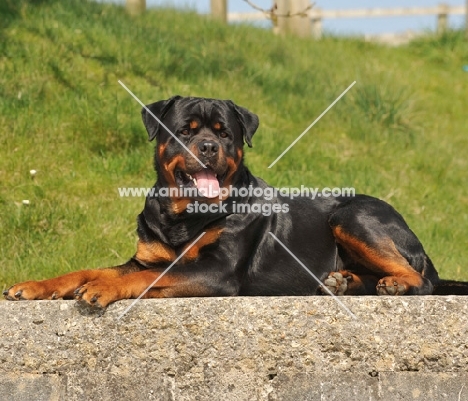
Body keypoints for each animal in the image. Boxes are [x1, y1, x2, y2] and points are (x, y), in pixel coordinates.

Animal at [3, 97, 468, 306]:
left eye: (225, 133)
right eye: (185, 131)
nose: (209, 147)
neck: (183, 216)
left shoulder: (217, 271)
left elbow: (144, 278)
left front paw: (101, 289)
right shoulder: (144, 257)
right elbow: (95, 268)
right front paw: (37, 285)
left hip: (352, 215)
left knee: (421, 278)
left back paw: (395, 284)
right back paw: (344, 282)